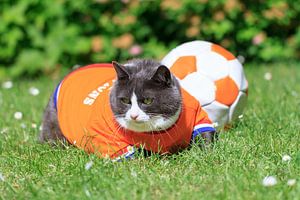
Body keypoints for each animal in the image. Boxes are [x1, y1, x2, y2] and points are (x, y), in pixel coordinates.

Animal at [39, 59, 217, 158]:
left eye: (147, 100)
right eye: (125, 100)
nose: (134, 115)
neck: (157, 132)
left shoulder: (195, 113)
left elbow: (205, 135)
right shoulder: (107, 139)